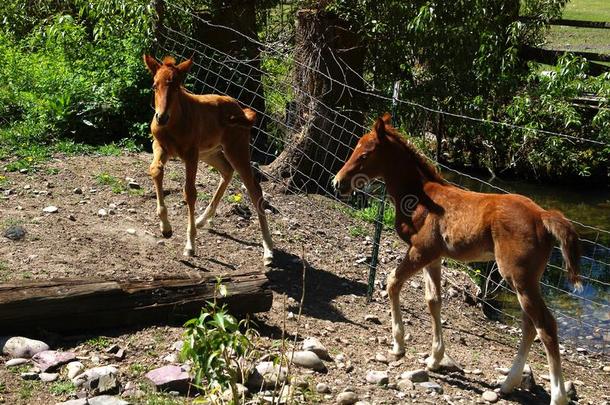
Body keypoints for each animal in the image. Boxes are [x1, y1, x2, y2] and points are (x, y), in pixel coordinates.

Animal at [144, 56, 272, 266]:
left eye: (176, 86)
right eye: (155, 85)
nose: (161, 117)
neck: (174, 123)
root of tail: (241, 110)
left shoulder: (191, 155)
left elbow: (190, 192)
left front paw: (190, 245)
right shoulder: (160, 146)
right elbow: (155, 170)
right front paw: (166, 228)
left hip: (236, 149)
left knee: (254, 189)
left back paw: (268, 250)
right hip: (210, 153)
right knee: (227, 171)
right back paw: (201, 220)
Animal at [332, 113, 580, 404]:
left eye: (365, 154)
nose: (337, 182)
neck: (420, 198)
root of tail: (542, 215)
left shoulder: (421, 250)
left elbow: (392, 282)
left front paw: (398, 346)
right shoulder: (434, 257)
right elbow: (433, 300)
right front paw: (434, 359)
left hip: (517, 276)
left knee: (545, 325)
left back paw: (557, 396)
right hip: (528, 279)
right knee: (529, 325)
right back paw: (508, 384)